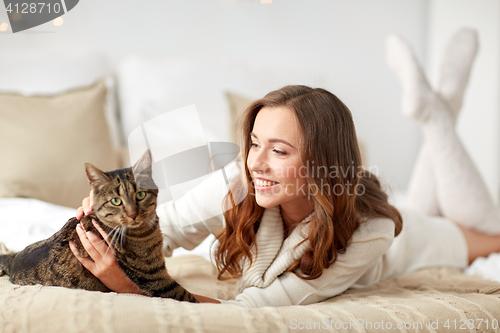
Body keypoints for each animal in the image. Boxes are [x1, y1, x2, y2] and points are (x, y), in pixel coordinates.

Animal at [0, 151, 198, 304]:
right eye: (116, 201)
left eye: (140, 195)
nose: (133, 214)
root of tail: (13, 260)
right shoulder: (154, 276)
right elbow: (188, 296)